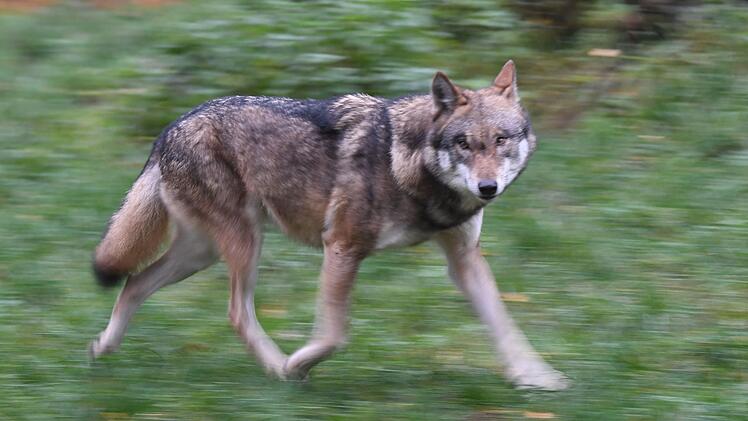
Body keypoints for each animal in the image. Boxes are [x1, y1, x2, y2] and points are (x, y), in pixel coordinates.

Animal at [89, 60, 568, 390]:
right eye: (465, 144)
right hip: (243, 245)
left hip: (201, 253)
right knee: (235, 313)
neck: (408, 165)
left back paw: (103, 348)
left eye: (501, 140)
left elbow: (505, 325)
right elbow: (335, 334)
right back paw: (278, 369)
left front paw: (537, 378)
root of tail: (171, 127)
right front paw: (298, 363)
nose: (487, 187)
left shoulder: (464, 260)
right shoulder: (341, 246)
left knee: (134, 282)